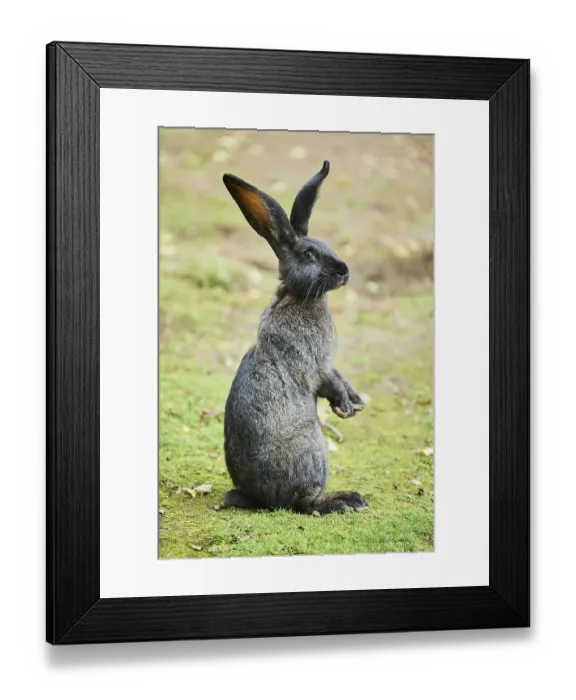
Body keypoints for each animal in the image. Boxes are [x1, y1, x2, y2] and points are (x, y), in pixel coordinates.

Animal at [222, 160, 367, 515]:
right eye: (309, 254)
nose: (344, 270)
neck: (300, 296)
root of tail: (259, 498)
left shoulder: (329, 363)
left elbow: (341, 376)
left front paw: (356, 402)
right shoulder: (315, 365)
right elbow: (330, 382)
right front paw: (345, 407)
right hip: (312, 447)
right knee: (304, 502)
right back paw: (348, 500)